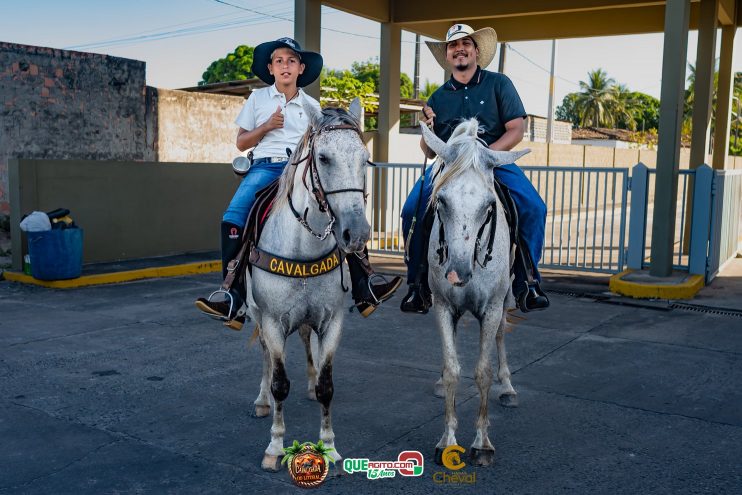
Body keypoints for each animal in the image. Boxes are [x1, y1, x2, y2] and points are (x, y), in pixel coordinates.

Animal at [244, 101, 372, 472]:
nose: (356, 234)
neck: (303, 248)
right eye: (324, 158)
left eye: (365, 159)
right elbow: (279, 382)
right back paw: (262, 401)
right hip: (256, 313)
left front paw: (328, 446)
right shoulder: (272, 321)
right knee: (265, 357)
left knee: (305, 338)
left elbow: (328, 384)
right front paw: (275, 446)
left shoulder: (332, 321)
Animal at [422, 118, 532, 466]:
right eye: (441, 200)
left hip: (506, 298)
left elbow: (482, 372)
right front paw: (447, 440)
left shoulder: (492, 307)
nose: (457, 272)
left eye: (489, 205)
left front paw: (482, 443)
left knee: (500, 335)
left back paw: (507, 386)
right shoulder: (443, 307)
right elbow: (452, 370)